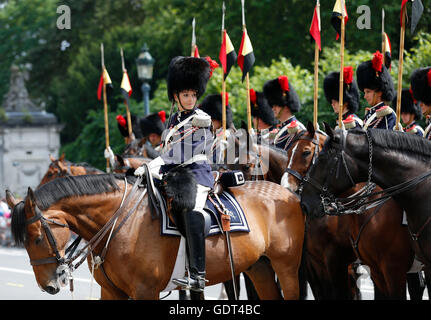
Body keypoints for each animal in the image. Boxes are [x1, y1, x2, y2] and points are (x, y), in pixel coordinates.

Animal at [9, 172, 308, 300]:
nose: (48, 286)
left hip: (287, 267)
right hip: (259, 267)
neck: (120, 223)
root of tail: (288, 193)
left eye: (36, 238)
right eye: (23, 243)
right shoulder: (112, 292)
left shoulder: (146, 291)